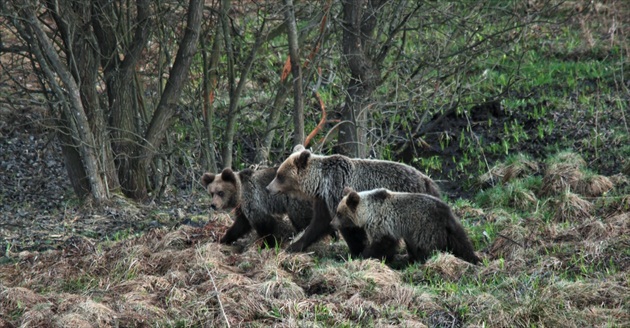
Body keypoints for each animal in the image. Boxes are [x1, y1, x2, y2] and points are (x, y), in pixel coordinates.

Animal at [204, 168, 334, 247]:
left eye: (220, 192)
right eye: (211, 193)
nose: (213, 205)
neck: (240, 195)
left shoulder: (254, 199)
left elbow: (264, 223)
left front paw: (268, 244)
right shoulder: (243, 209)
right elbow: (240, 225)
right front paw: (223, 239)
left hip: (297, 201)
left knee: (303, 219)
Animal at [266, 146, 440, 256]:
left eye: (279, 176)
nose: (268, 188)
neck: (320, 183)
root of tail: (428, 181)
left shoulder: (339, 191)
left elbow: (350, 228)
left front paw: (358, 251)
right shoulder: (323, 200)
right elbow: (318, 224)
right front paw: (293, 246)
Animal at [330, 187, 478, 264]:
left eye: (339, 213)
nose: (332, 223)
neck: (367, 213)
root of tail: (444, 212)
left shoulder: (381, 223)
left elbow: (382, 244)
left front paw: (365, 255)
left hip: (425, 227)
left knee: (425, 247)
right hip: (451, 225)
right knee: (461, 241)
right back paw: (473, 257)